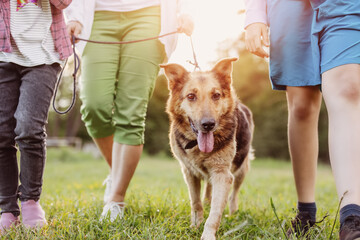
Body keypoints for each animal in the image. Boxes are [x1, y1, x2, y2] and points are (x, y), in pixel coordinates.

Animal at [162, 57, 255, 239]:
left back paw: (233, 214)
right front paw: (195, 226)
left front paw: (208, 234)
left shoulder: (223, 175)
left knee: (233, 195)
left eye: (216, 95)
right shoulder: (189, 172)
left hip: (241, 169)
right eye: (191, 96)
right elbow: (196, 203)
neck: (197, 146)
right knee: (208, 191)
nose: (208, 124)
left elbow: (215, 213)